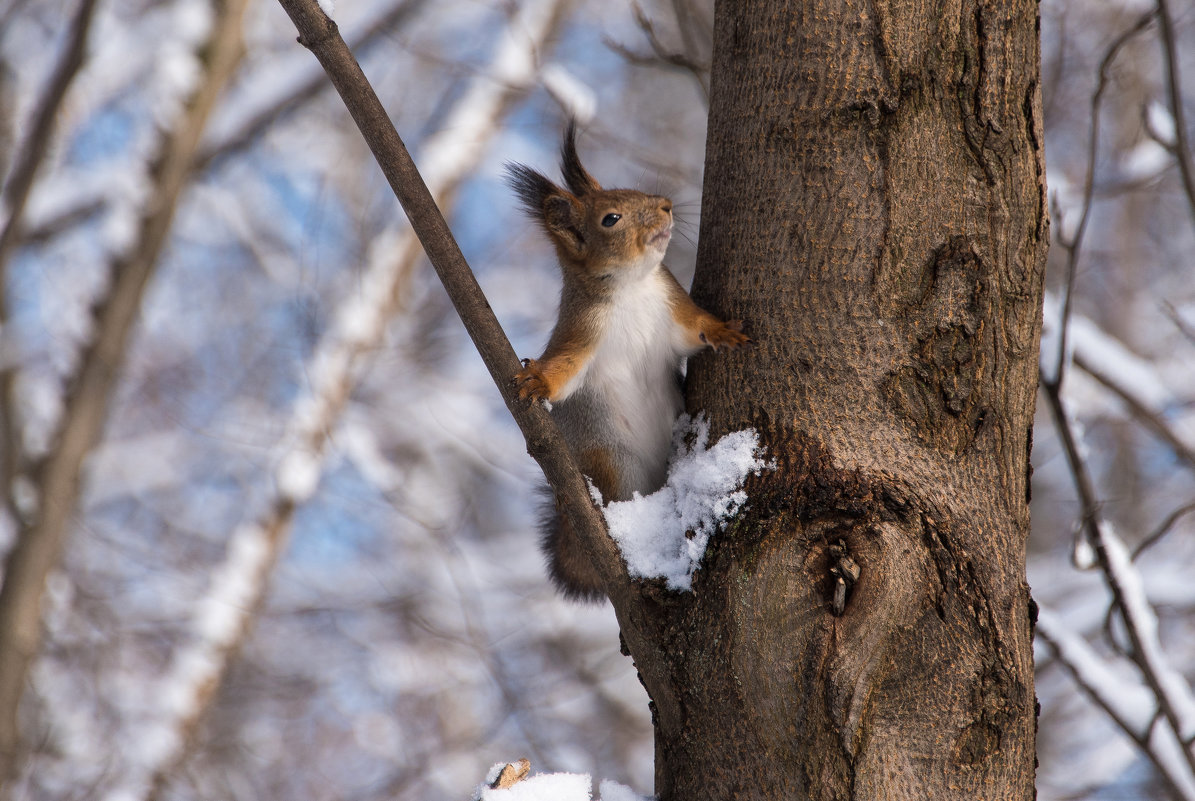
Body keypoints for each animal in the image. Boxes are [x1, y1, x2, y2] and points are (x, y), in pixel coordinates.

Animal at [504, 122, 745, 602]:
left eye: (632, 190)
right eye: (610, 219)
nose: (666, 205)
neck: (632, 286)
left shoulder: (674, 309)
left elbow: (697, 329)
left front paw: (723, 331)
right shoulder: (581, 331)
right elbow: (563, 370)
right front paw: (536, 380)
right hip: (614, 464)